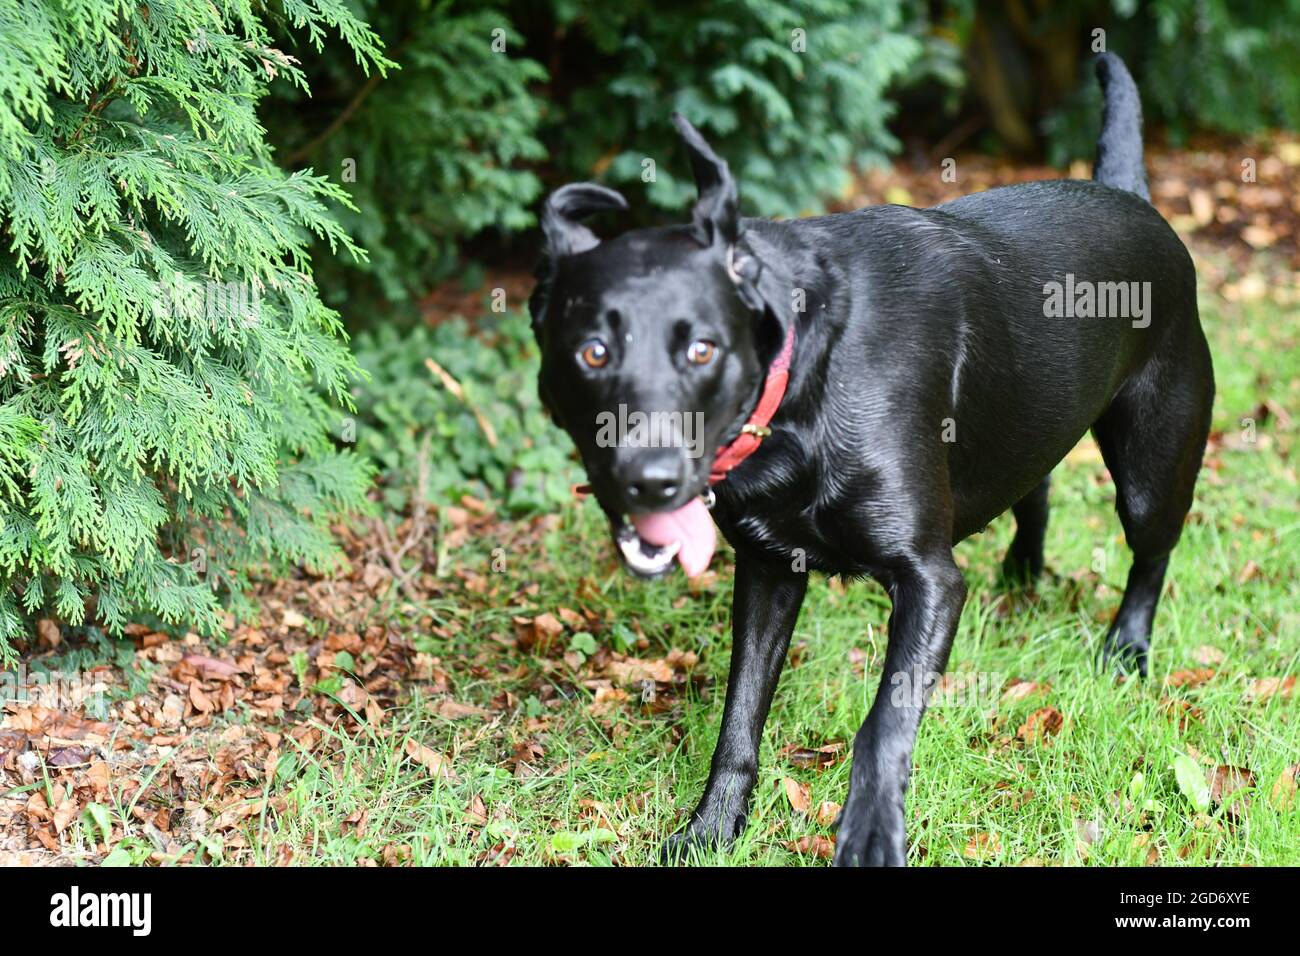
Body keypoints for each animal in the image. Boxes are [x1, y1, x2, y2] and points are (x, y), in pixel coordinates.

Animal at [525, 54, 1206, 868]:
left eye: (702, 349)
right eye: (592, 351)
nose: (648, 479)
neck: (801, 376)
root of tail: (1130, 194)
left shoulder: (930, 581)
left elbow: (882, 725)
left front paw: (871, 832)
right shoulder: (768, 571)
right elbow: (740, 715)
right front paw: (713, 827)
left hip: (1151, 468)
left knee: (1152, 554)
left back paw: (1127, 650)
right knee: (1034, 485)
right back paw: (1023, 574)